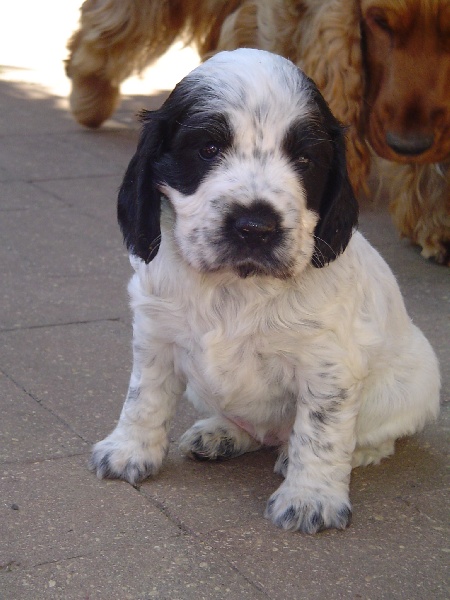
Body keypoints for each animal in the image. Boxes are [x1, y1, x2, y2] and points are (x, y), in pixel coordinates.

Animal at [88, 49, 440, 534]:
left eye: (306, 160)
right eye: (208, 148)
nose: (255, 226)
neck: (236, 286)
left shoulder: (327, 366)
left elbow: (322, 432)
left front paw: (311, 498)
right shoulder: (156, 334)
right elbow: (144, 397)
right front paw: (129, 450)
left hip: (415, 385)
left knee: (369, 436)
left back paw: (306, 454)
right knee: (252, 428)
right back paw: (220, 434)